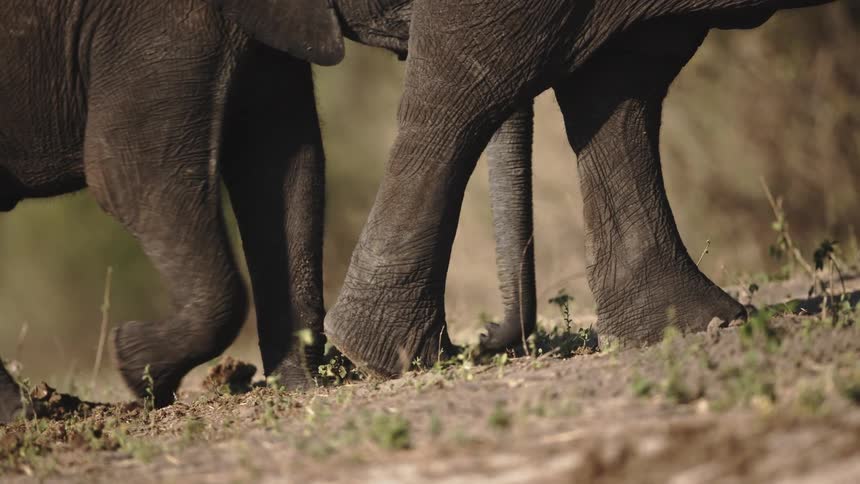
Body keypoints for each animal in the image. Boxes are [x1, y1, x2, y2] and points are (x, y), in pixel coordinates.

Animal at [0, 0, 536, 422]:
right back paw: (36, 413)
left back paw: (27, 413)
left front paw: (302, 388)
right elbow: (133, 175)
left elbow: (282, 165)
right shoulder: (152, 22)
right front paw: (139, 367)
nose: (490, 337)